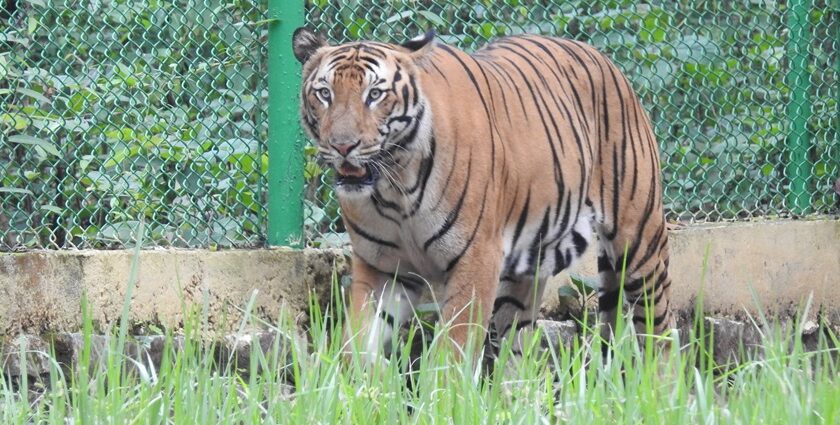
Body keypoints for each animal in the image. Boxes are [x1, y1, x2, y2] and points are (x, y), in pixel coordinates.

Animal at [296, 28, 676, 362]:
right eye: (325, 93)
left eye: (375, 94)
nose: (342, 146)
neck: (394, 188)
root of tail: (604, 59)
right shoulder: (382, 269)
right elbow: (357, 346)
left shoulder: (476, 259)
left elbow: (453, 350)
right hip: (527, 267)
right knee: (518, 348)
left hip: (639, 242)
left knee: (660, 329)